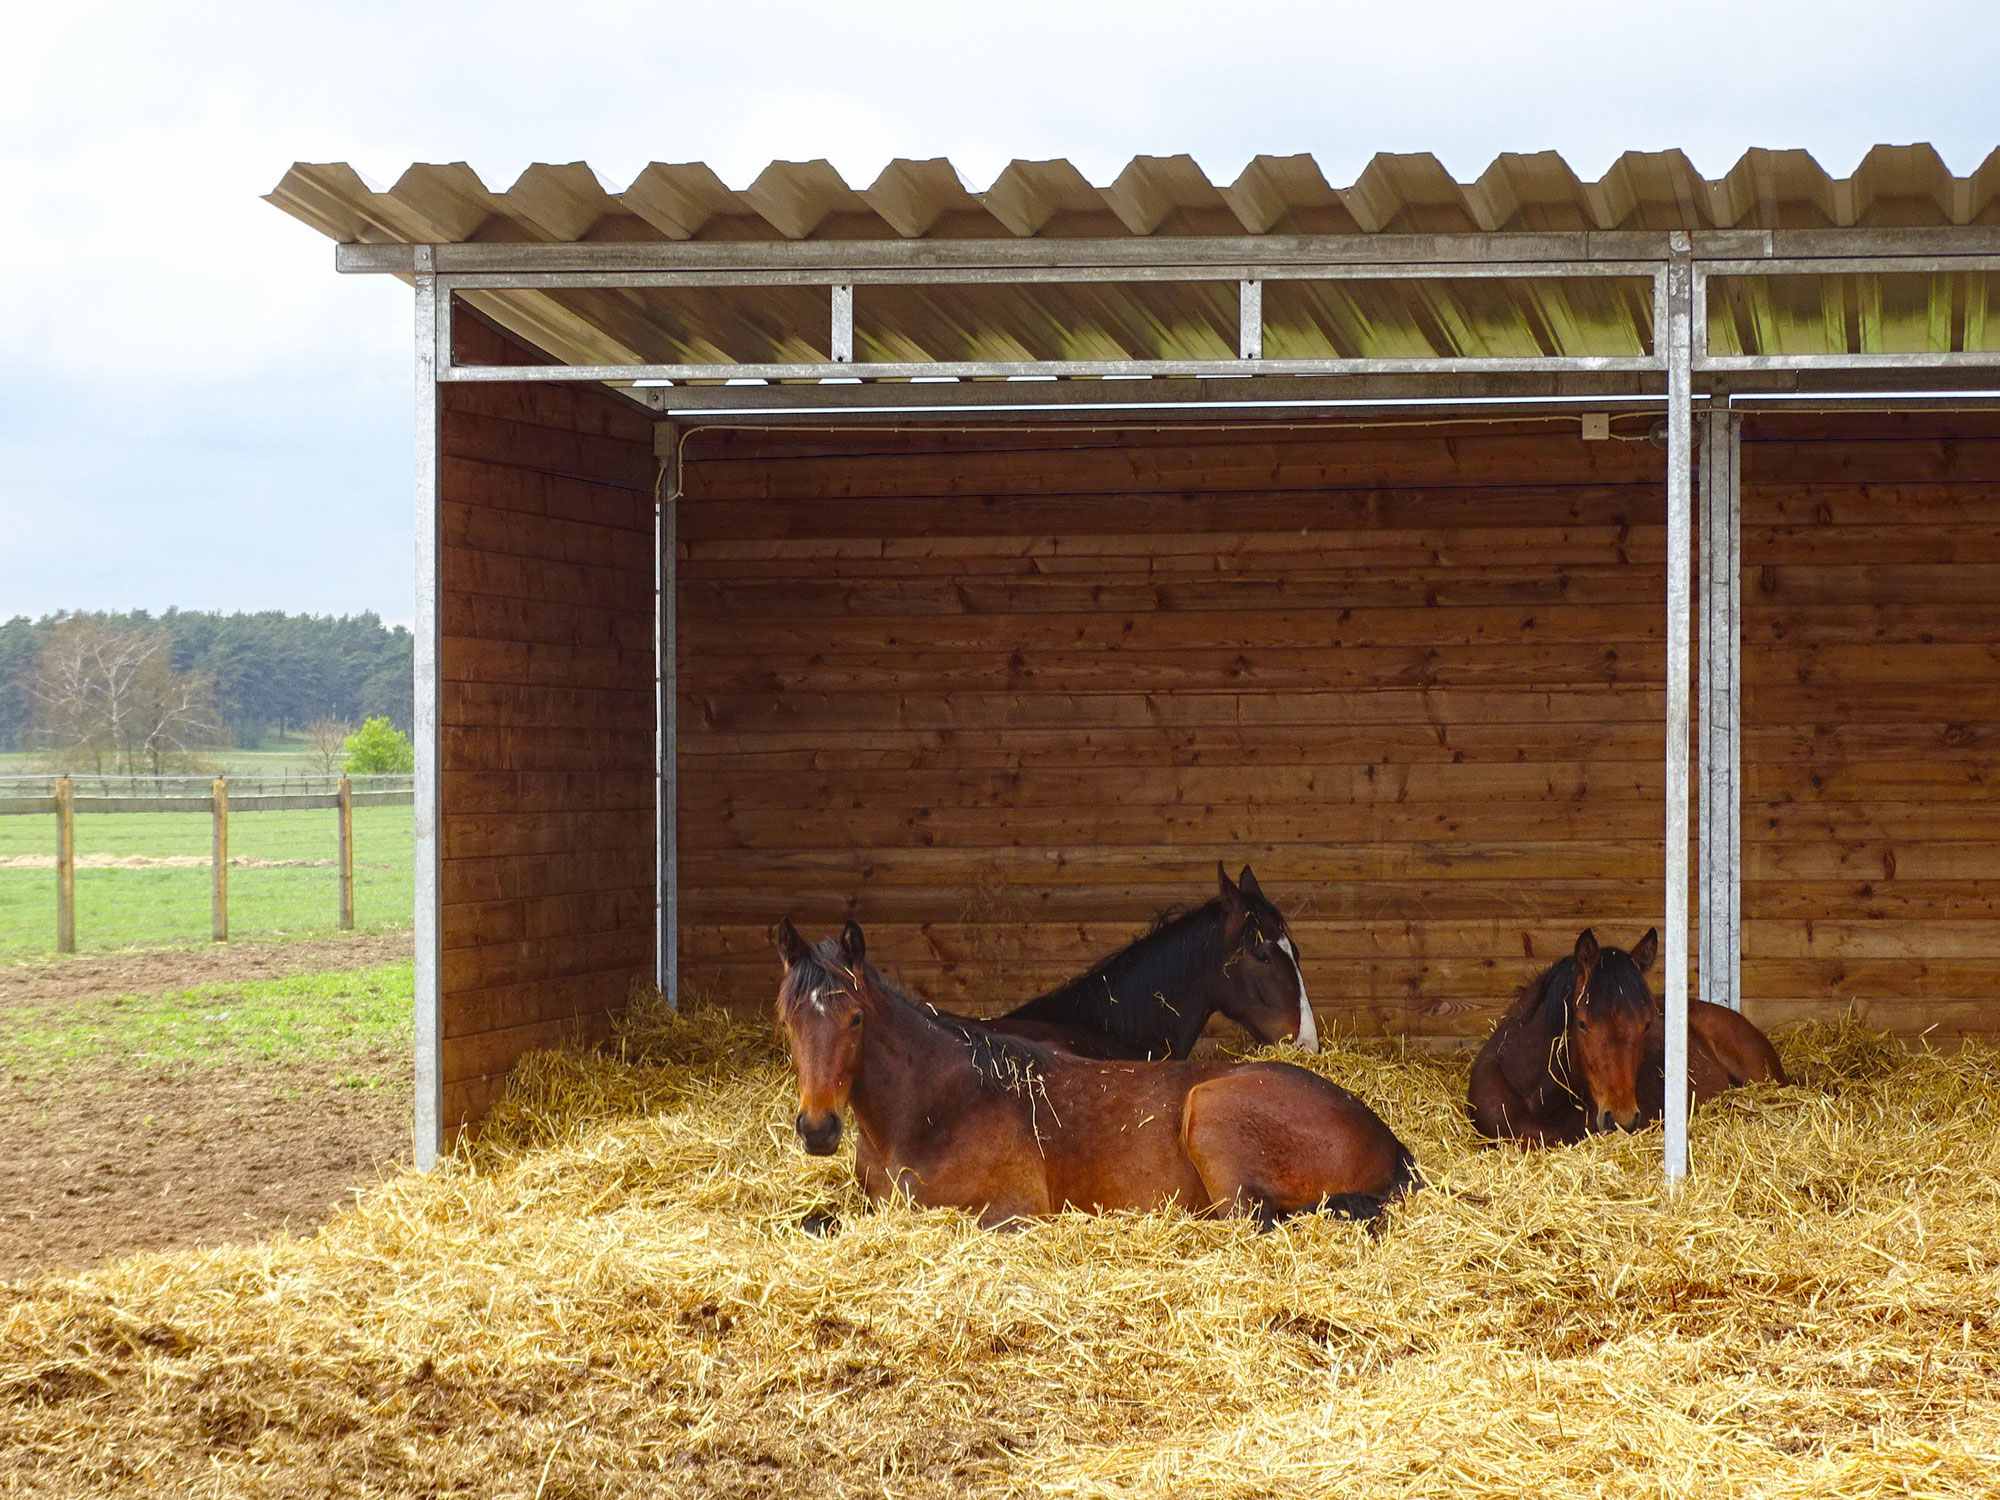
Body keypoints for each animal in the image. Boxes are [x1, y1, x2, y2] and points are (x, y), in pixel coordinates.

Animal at [772, 916, 1416, 1232]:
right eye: (786, 1017)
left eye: (856, 1018)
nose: (817, 1129)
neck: (935, 1108)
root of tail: (1387, 1139)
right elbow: (814, 1222)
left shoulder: (1007, 1213)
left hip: (1211, 1113)